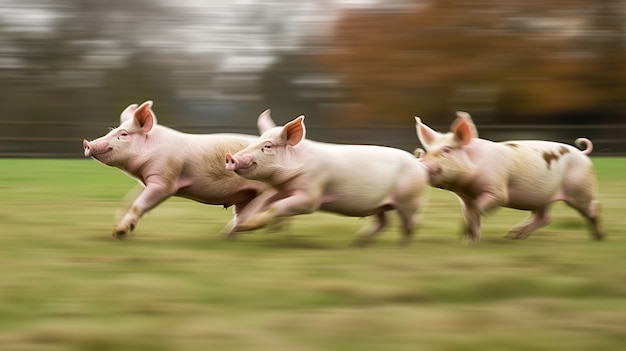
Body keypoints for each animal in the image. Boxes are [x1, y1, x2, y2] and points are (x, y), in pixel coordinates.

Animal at [81, 102, 276, 239]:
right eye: (112, 131)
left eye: (123, 134)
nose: (86, 142)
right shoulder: (148, 180)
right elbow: (129, 200)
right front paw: (119, 230)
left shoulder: (164, 180)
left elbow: (139, 203)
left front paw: (119, 232)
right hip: (246, 196)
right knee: (242, 216)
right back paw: (223, 237)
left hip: (266, 191)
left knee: (256, 213)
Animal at [222, 109, 426, 245]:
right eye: (255, 142)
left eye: (267, 146)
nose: (230, 157)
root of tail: (418, 164)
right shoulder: (279, 191)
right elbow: (259, 205)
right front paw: (234, 230)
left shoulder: (312, 192)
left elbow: (280, 207)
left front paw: (249, 226)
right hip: (380, 204)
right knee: (385, 222)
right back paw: (358, 242)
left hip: (409, 198)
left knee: (411, 222)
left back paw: (403, 244)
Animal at [412, 113, 604, 245]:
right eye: (428, 151)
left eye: (447, 150)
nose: (422, 163)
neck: (467, 186)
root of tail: (582, 153)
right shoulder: (465, 198)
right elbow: (471, 214)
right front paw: (469, 241)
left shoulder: (497, 191)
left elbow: (478, 210)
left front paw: (464, 236)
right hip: (543, 197)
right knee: (545, 218)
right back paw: (513, 236)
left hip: (580, 189)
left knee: (593, 208)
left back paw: (599, 237)